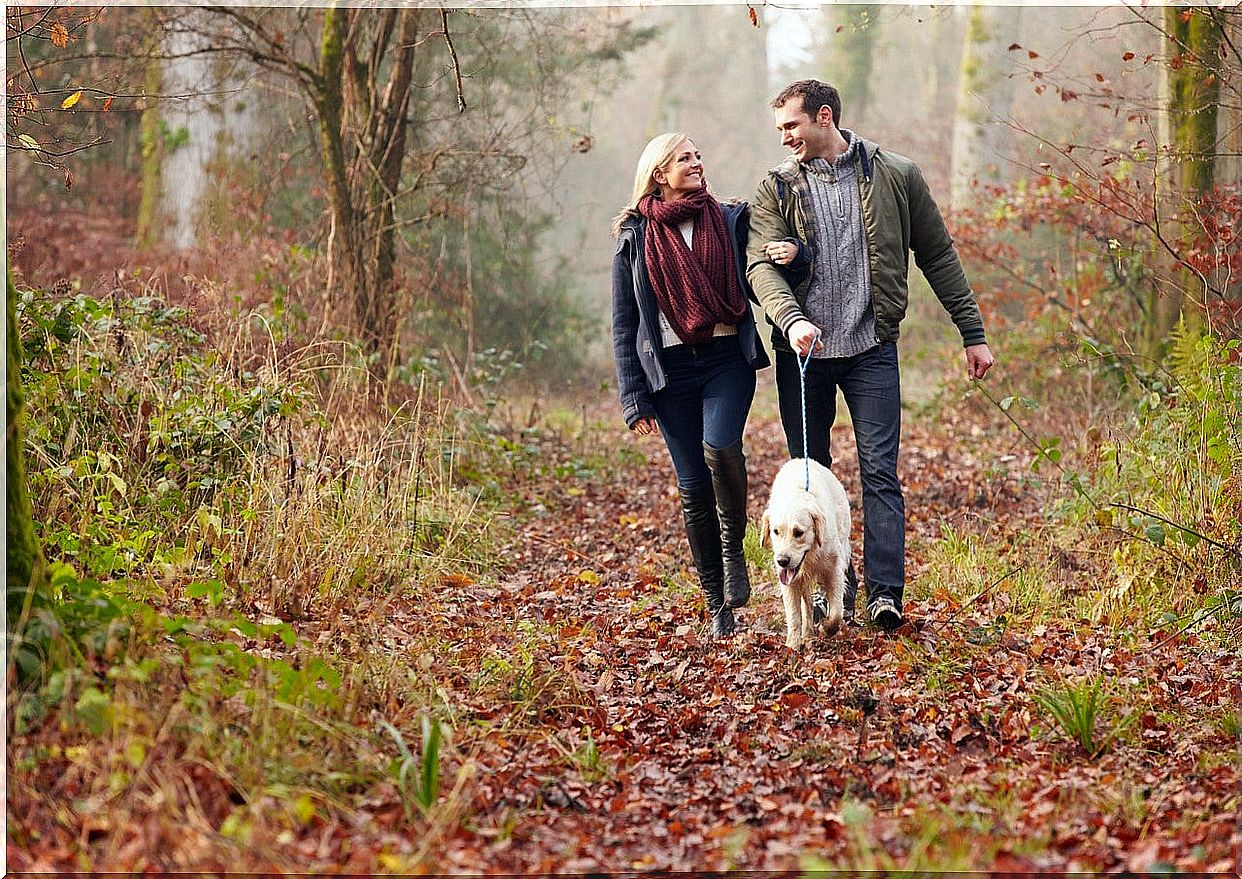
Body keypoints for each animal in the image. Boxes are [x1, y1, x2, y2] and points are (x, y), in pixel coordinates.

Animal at [760, 456, 849, 650]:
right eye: (775, 531)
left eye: (798, 532)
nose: (782, 561)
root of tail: (801, 459)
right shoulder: (788, 581)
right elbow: (794, 615)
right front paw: (792, 646)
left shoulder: (834, 569)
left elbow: (837, 612)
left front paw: (827, 627)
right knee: (806, 603)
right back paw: (807, 634)